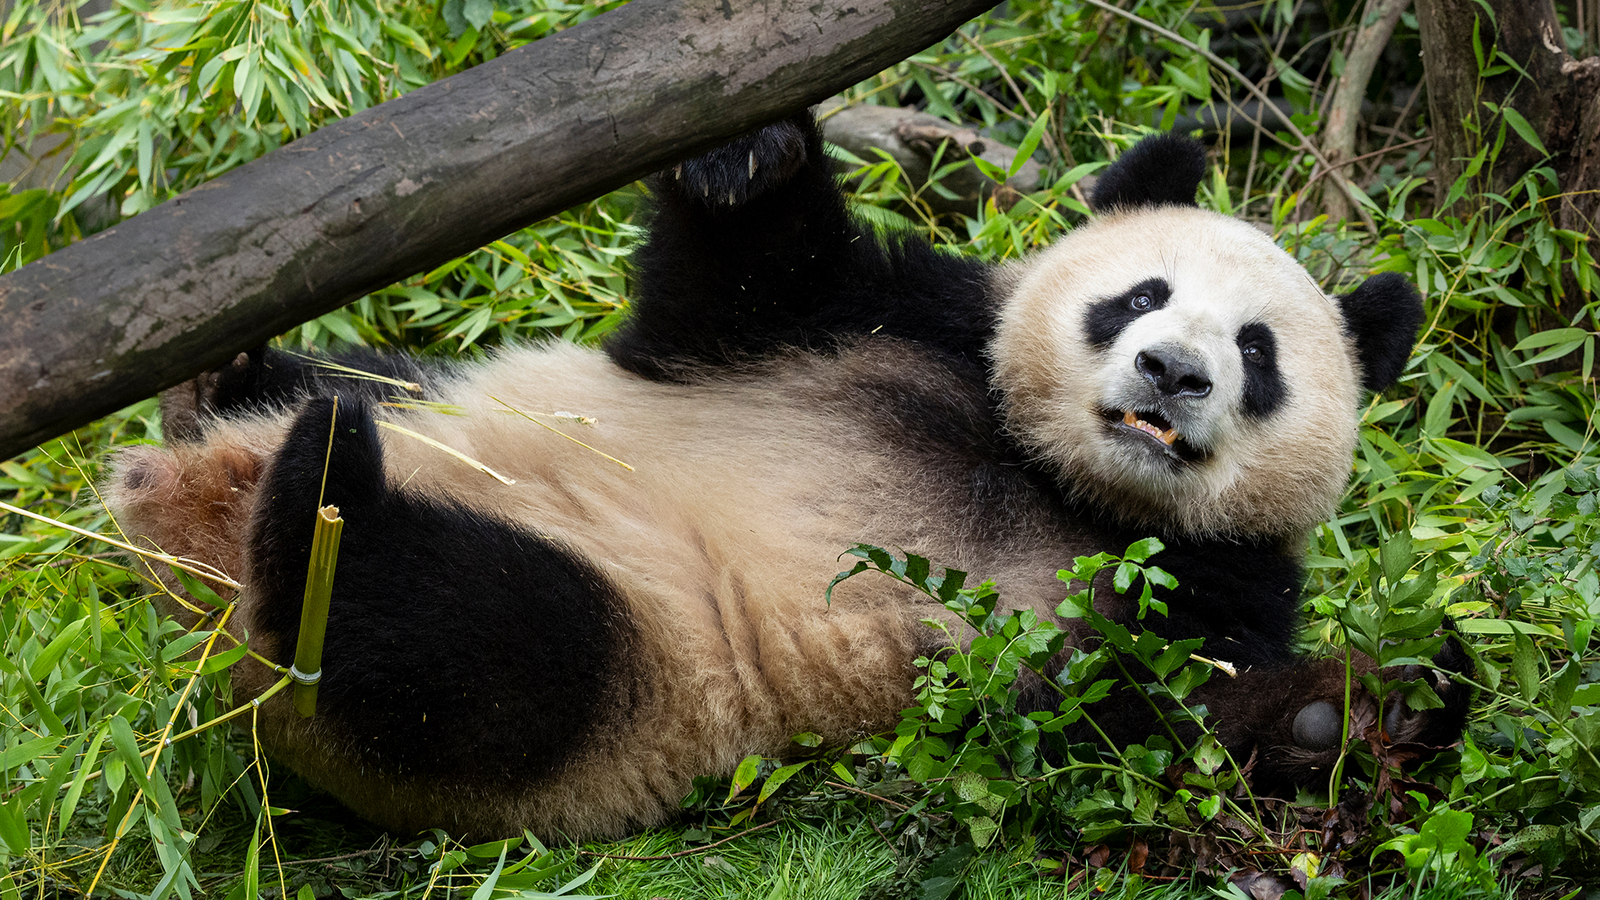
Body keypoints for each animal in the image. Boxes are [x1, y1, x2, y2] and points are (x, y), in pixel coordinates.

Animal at [106, 114, 1470, 841]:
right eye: (1139, 296)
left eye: (1259, 354)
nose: (1174, 370)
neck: (1054, 478)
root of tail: (189, 536)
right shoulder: (892, 323)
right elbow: (733, 290)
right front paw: (749, 155)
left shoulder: (1202, 582)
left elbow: (1118, 726)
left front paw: (1353, 716)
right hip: (433, 399)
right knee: (355, 398)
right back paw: (230, 386)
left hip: (631, 679)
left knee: (463, 646)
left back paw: (319, 511)